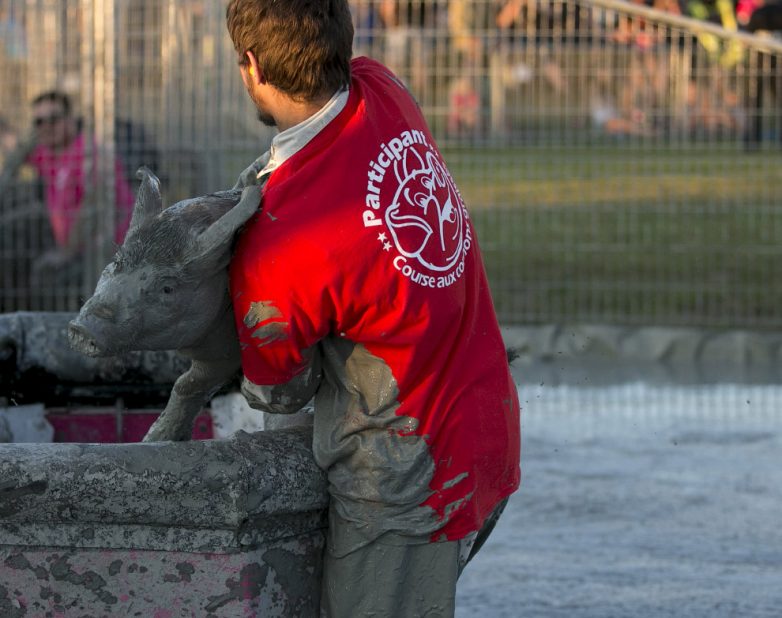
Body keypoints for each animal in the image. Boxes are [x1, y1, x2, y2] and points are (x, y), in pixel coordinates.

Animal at [68, 166, 264, 440]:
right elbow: (188, 383)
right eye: (117, 263)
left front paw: (153, 439)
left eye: (167, 288)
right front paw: (154, 439)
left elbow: (188, 383)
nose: (82, 329)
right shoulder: (220, 350)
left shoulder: (227, 345)